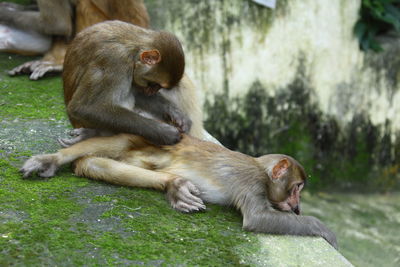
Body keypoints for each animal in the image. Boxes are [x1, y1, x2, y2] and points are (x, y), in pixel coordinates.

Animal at [19, 134, 338, 249]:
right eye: (297, 189)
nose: (297, 207)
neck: (261, 170)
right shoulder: (251, 183)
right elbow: (258, 218)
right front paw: (323, 228)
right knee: (116, 142)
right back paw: (53, 159)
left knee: (93, 164)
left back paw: (173, 184)